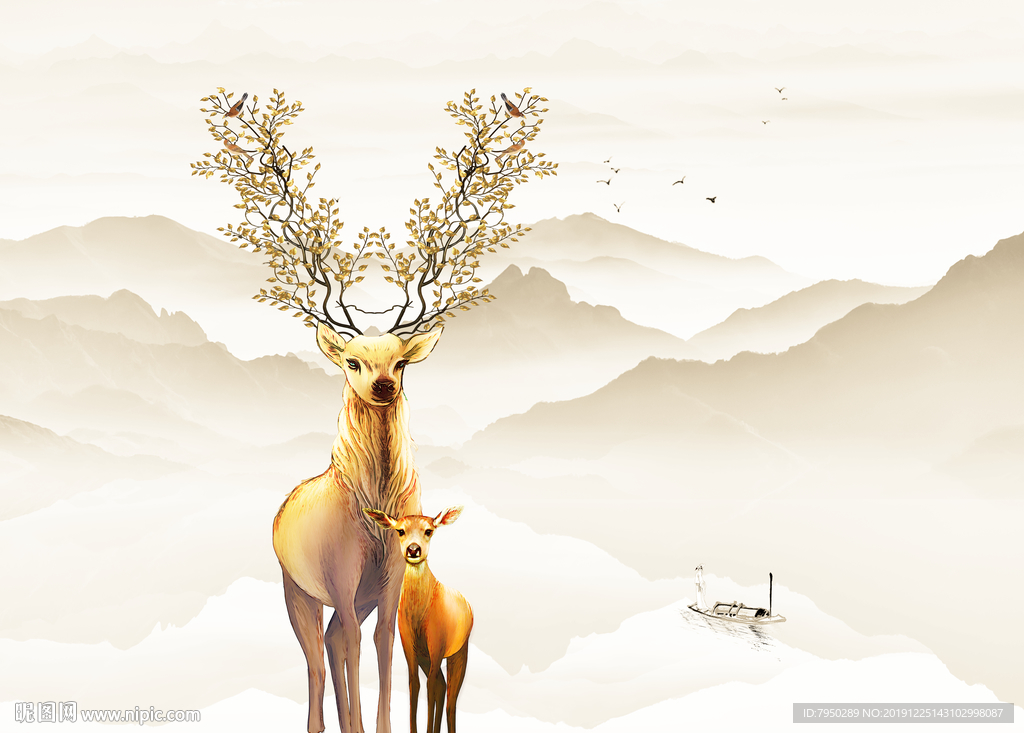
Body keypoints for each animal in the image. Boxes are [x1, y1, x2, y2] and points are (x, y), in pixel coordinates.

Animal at [273, 322, 442, 733]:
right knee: (317, 654)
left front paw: (381, 727)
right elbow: (354, 641)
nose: (383, 385)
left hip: (361, 596)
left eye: (400, 362)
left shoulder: (391, 579)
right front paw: (357, 725)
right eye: (352, 361)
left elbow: (383, 639)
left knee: (332, 638)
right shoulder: (339, 577)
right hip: (297, 589)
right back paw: (319, 725)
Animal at [364, 506, 473, 733]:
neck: (420, 614)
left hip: (459, 651)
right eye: (400, 530)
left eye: (429, 530)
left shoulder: (438, 644)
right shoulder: (409, 645)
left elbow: (430, 687)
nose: (413, 550)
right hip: (426, 656)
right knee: (442, 686)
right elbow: (414, 685)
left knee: (451, 697)